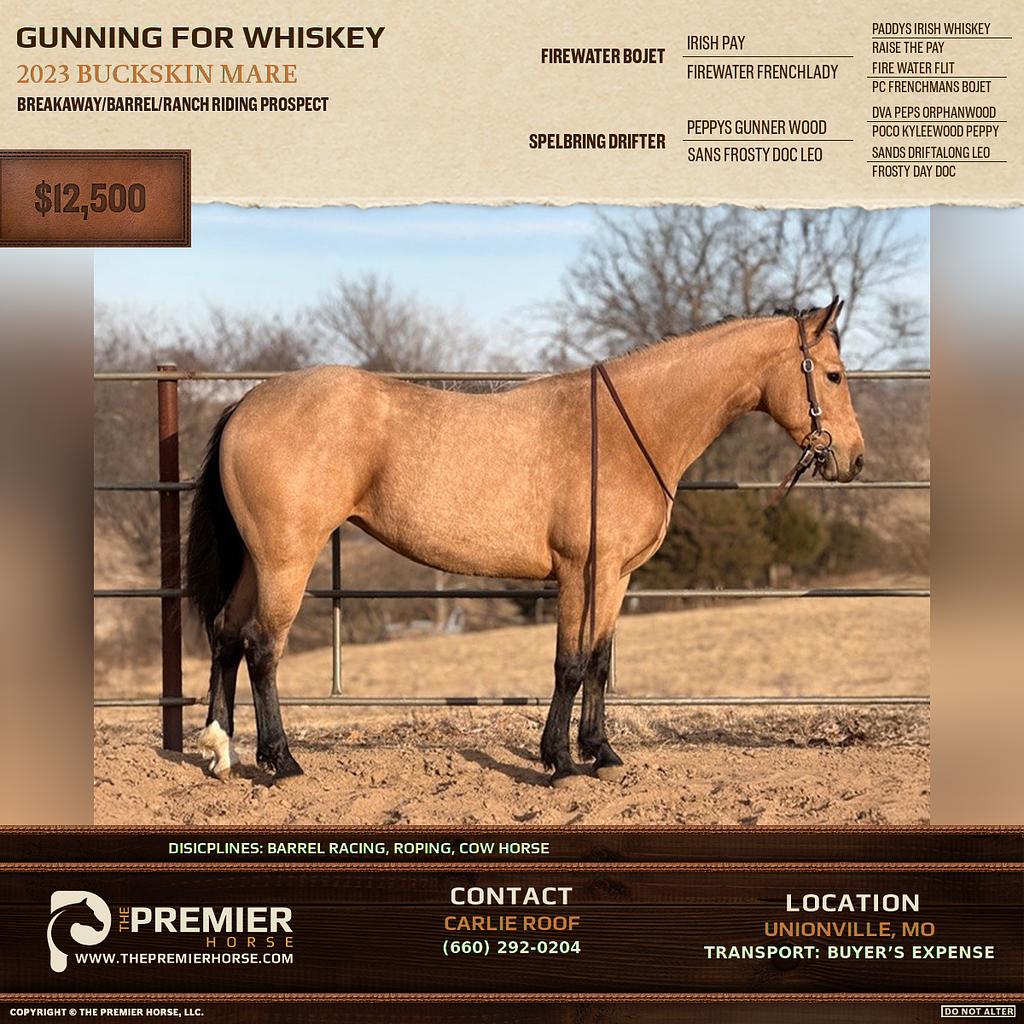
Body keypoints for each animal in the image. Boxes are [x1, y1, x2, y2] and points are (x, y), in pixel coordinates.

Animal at [187, 296, 864, 788]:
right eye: (832, 375)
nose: (854, 460)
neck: (625, 428)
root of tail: (248, 401)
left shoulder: (615, 576)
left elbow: (599, 661)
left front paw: (601, 753)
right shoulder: (581, 572)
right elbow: (569, 664)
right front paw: (559, 762)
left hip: (258, 561)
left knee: (225, 633)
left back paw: (220, 751)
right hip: (286, 560)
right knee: (262, 647)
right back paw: (281, 762)